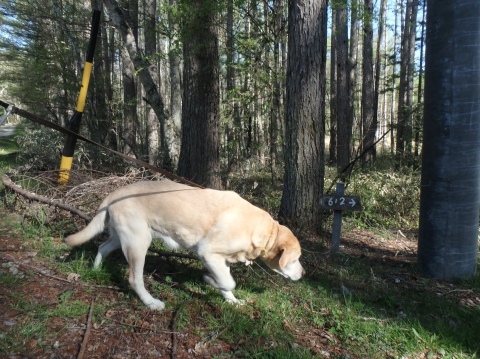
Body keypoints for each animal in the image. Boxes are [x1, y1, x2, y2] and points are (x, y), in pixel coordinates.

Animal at [63, 181, 306, 310]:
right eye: (296, 259)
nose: (303, 274)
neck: (265, 232)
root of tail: (113, 194)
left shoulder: (220, 260)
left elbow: (227, 284)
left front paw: (231, 301)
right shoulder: (208, 253)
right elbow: (229, 281)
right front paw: (211, 282)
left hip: (119, 237)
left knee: (102, 248)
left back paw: (95, 269)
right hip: (138, 242)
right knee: (134, 279)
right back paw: (151, 302)